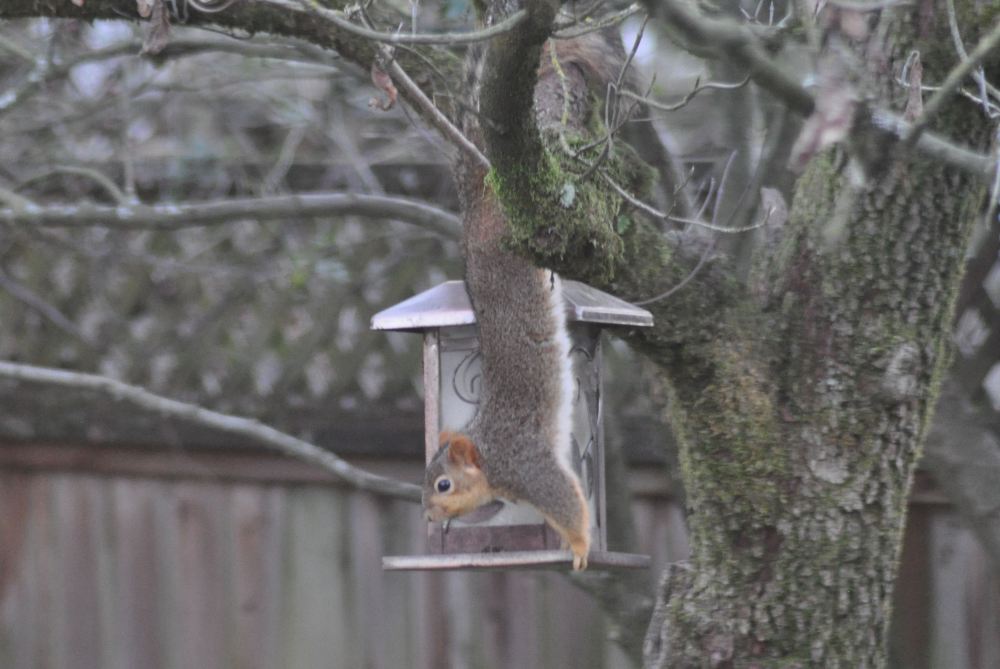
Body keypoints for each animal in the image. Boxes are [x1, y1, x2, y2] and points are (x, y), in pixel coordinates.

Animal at [421, 29, 631, 571]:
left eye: (443, 484)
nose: (427, 514)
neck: (489, 458)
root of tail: (475, 210)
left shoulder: (529, 466)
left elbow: (566, 500)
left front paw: (578, 547)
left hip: (512, 222)